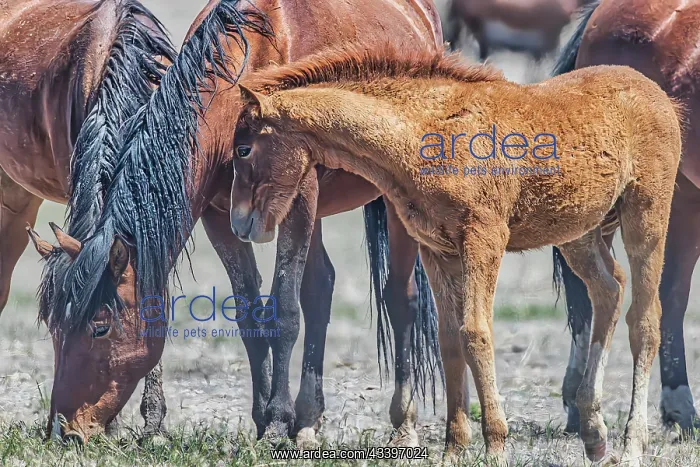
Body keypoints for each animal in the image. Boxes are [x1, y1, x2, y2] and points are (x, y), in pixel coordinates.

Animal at [28, 0, 446, 446]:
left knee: (401, 298)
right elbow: (249, 312)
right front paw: (265, 418)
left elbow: (284, 311)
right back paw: (309, 421)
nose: (63, 430)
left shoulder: (298, 201)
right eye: (54, 328)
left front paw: (277, 421)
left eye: (100, 327)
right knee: (320, 289)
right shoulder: (219, 217)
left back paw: (403, 424)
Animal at [227, 45, 682, 464]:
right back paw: (594, 434)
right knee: (609, 289)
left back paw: (633, 445)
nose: (240, 223)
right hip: (579, 234)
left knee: (645, 322)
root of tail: (656, 93)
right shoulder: (437, 251)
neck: (423, 134)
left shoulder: (485, 239)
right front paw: (454, 449)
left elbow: (475, 333)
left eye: (243, 150)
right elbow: (449, 340)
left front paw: (495, 446)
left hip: (646, 217)